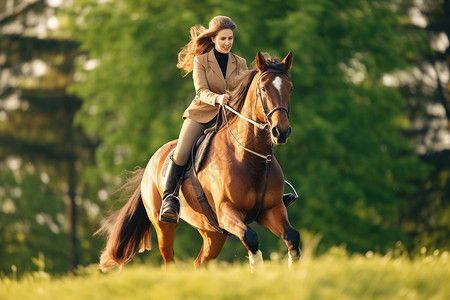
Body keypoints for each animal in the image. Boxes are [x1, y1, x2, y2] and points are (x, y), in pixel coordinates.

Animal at [97, 51, 302, 272]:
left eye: (290, 88)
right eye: (263, 88)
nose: (281, 132)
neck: (250, 159)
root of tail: (151, 164)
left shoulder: (272, 210)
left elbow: (292, 237)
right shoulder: (227, 212)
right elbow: (251, 238)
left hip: (213, 232)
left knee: (199, 262)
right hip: (164, 226)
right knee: (169, 259)